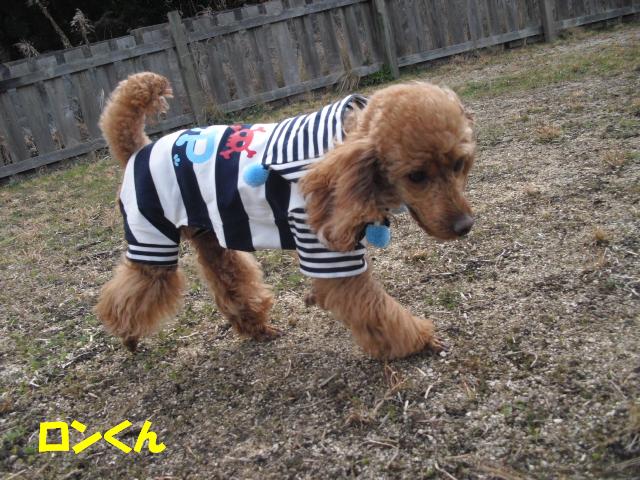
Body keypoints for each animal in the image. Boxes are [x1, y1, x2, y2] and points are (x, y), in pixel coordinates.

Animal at [96, 72, 475, 360]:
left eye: (459, 165)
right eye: (416, 176)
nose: (465, 226)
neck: (341, 149)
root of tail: (138, 149)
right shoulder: (327, 253)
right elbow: (375, 308)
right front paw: (419, 341)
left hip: (208, 233)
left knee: (228, 277)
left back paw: (256, 327)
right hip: (151, 237)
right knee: (136, 286)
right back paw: (127, 333)